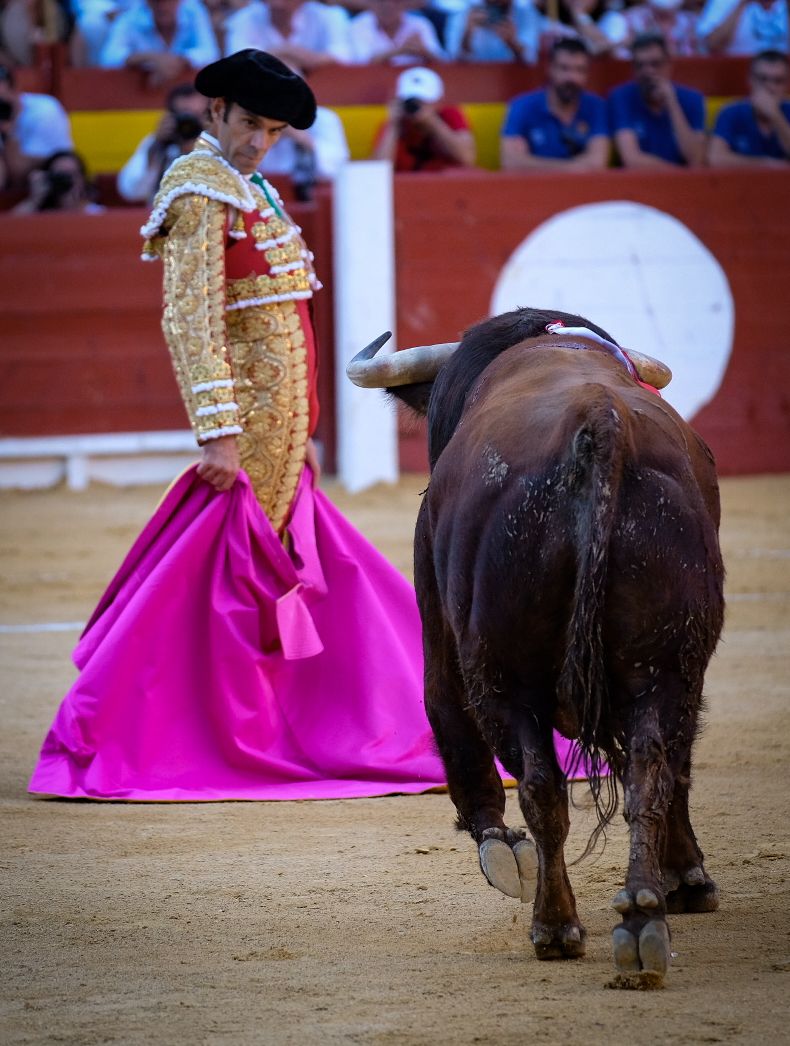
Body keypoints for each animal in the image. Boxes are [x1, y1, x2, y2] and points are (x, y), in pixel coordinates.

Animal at [349, 305, 724, 983]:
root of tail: (601, 422)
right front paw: (686, 881)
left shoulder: (436, 610)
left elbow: (447, 715)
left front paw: (501, 850)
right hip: (670, 665)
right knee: (654, 770)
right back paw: (643, 918)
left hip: (506, 672)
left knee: (542, 784)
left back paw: (557, 924)